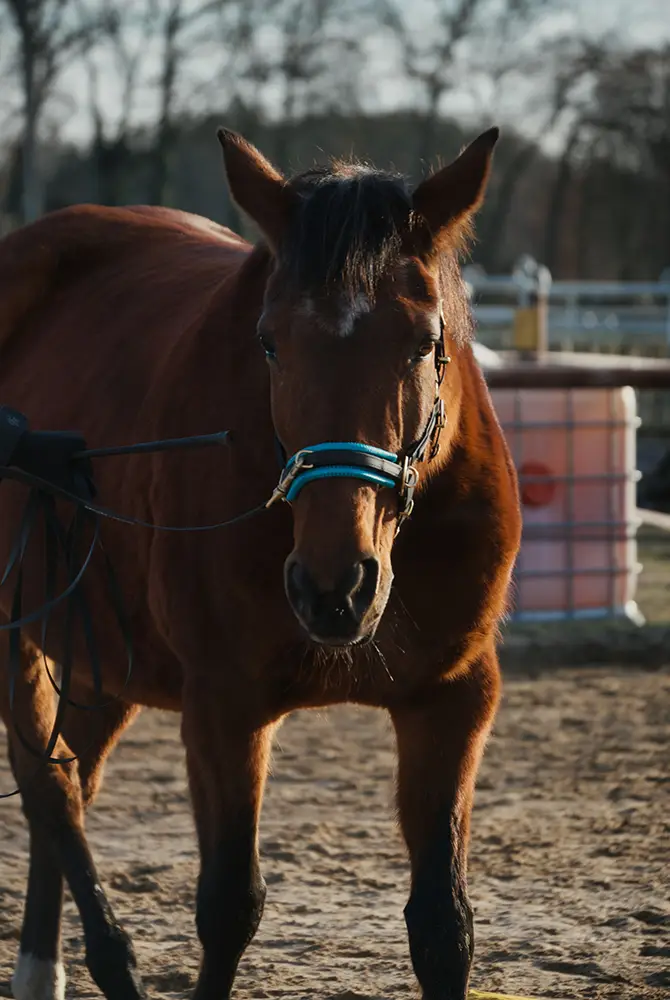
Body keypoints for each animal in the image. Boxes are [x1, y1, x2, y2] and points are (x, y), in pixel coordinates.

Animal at [0, 126, 521, 1000]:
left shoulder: (453, 701)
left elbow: (444, 929)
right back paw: (106, 960)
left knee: (68, 775)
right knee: (51, 793)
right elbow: (228, 907)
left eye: (425, 341)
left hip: (101, 651)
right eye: (270, 341)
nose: (334, 588)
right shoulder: (225, 707)